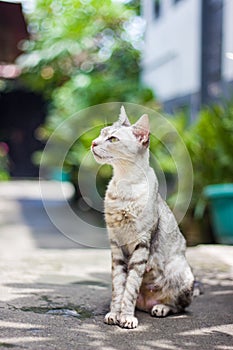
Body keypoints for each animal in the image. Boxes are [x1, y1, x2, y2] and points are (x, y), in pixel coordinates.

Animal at [91, 106, 195, 328]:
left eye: (112, 139)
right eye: (101, 134)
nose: (93, 142)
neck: (124, 185)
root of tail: (148, 302)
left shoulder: (142, 244)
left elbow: (130, 285)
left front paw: (126, 317)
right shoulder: (116, 245)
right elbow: (119, 286)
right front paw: (115, 313)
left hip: (181, 272)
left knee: (179, 306)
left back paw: (161, 307)